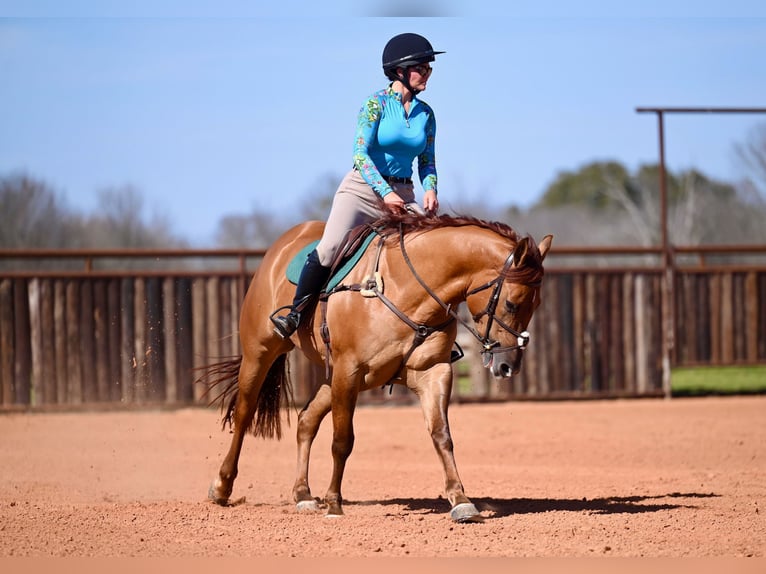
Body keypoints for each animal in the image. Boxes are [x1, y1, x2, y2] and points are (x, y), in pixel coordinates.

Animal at [202, 214, 552, 524]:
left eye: (536, 305)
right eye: (512, 303)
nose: (508, 365)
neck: (406, 288)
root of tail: (283, 243)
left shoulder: (433, 371)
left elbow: (442, 435)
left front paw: (461, 500)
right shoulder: (350, 370)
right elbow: (343, 440)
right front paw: (334, 503)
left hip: (333, 378)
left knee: (306, 420)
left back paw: (302, 494)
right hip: (262, 353)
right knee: (245, 412)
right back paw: (222, 487)